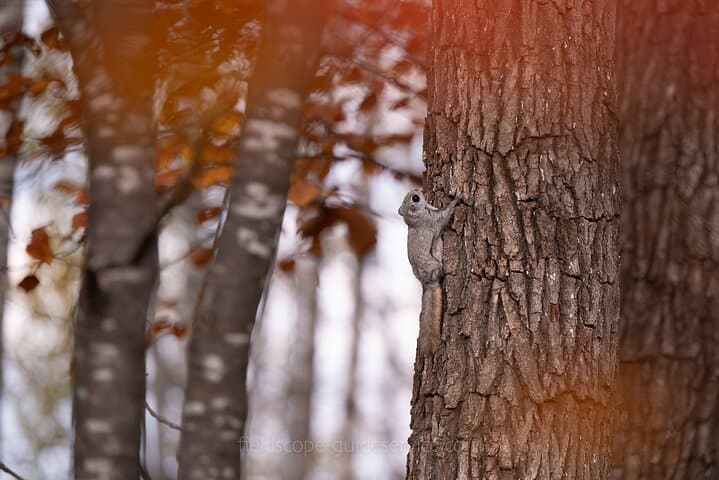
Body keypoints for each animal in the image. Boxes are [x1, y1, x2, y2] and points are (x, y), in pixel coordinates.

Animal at [398, 189, 458, 357]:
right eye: (415, 198)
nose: (418, 189)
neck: (415, 219)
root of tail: (427, 283)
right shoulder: (432, 220)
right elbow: (444, 216)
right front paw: (456, 200)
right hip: (433, 264)